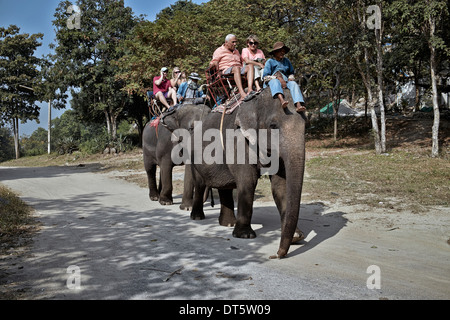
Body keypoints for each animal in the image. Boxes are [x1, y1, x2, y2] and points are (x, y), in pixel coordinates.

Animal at [185, 89, 306, 258]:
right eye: (273, 126)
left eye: (306, 124)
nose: (276, 254)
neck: (254, 103)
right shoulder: (238, 142)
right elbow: (248, 181)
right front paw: (245, 236)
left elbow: (279, 186)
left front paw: (297, 237)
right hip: (193, 159)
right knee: (200, 184)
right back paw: (198, 217)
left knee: (225, 187)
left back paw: (228, 223)